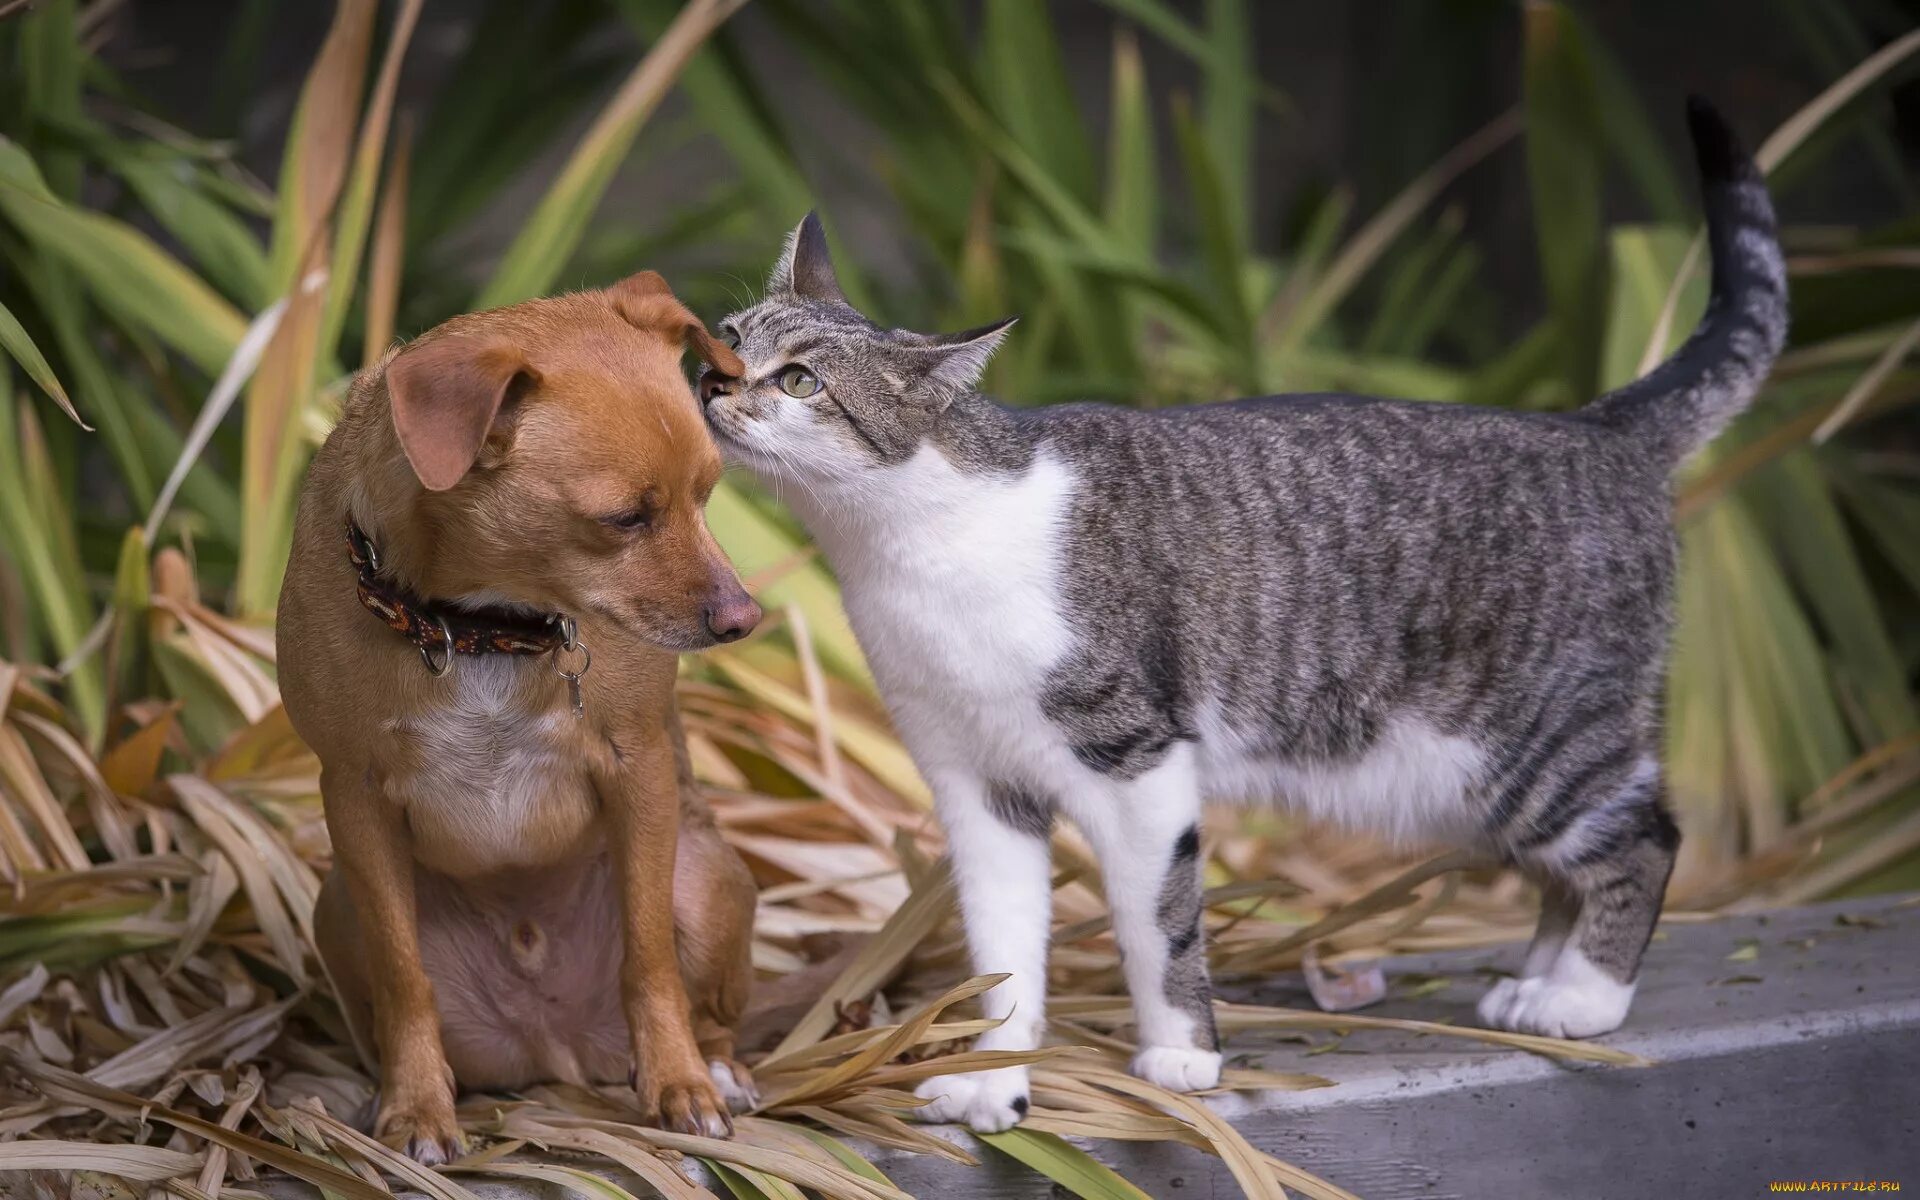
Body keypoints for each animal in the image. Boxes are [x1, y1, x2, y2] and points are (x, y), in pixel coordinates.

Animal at [278, 274, 756, 1159]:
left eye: (708, 495)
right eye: (625, 519)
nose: (746, 619)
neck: (482, 628)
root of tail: (552, 1051)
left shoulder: (639, 770)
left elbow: (649, 958)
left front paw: (680, 1085)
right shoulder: (353, 797)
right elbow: (403, 979)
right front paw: (415, 1108)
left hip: (705, 878)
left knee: (702, 997)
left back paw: (718, 1070)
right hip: (336, 910)